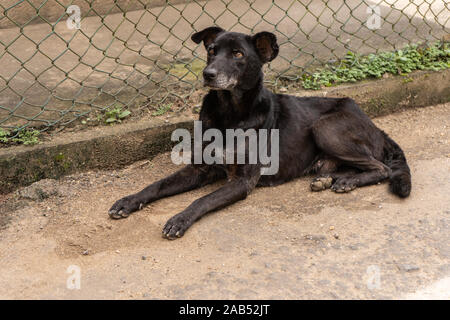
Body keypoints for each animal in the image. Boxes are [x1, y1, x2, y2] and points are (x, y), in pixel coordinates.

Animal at [108, 26, 412, 239]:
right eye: (211, 50)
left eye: (238, 54)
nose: (208, 73)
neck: (229, 114)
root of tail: (375, 125)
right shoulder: (199, 169)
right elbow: (156, 185)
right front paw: (129, 200)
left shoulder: (242, 181)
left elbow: (202, 199)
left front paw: (179, 219)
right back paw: (332, 179)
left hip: (325, 127)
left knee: (382, 168)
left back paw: (347, 181)